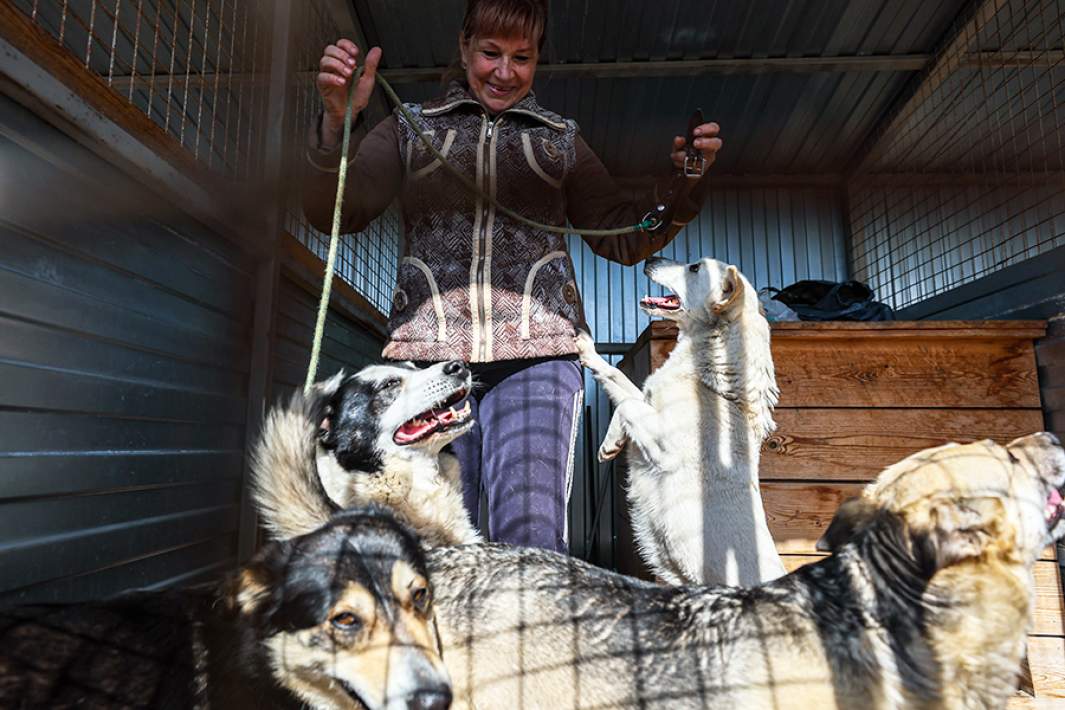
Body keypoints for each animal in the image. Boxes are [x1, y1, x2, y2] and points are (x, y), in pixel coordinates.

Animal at [579, 256, 788, 587]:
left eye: (695, 268)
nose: (650, 258)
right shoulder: (649, 400)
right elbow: (620, 383)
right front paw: (610, 443)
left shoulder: (662, 443)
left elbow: (626, 404)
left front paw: (611, 443)